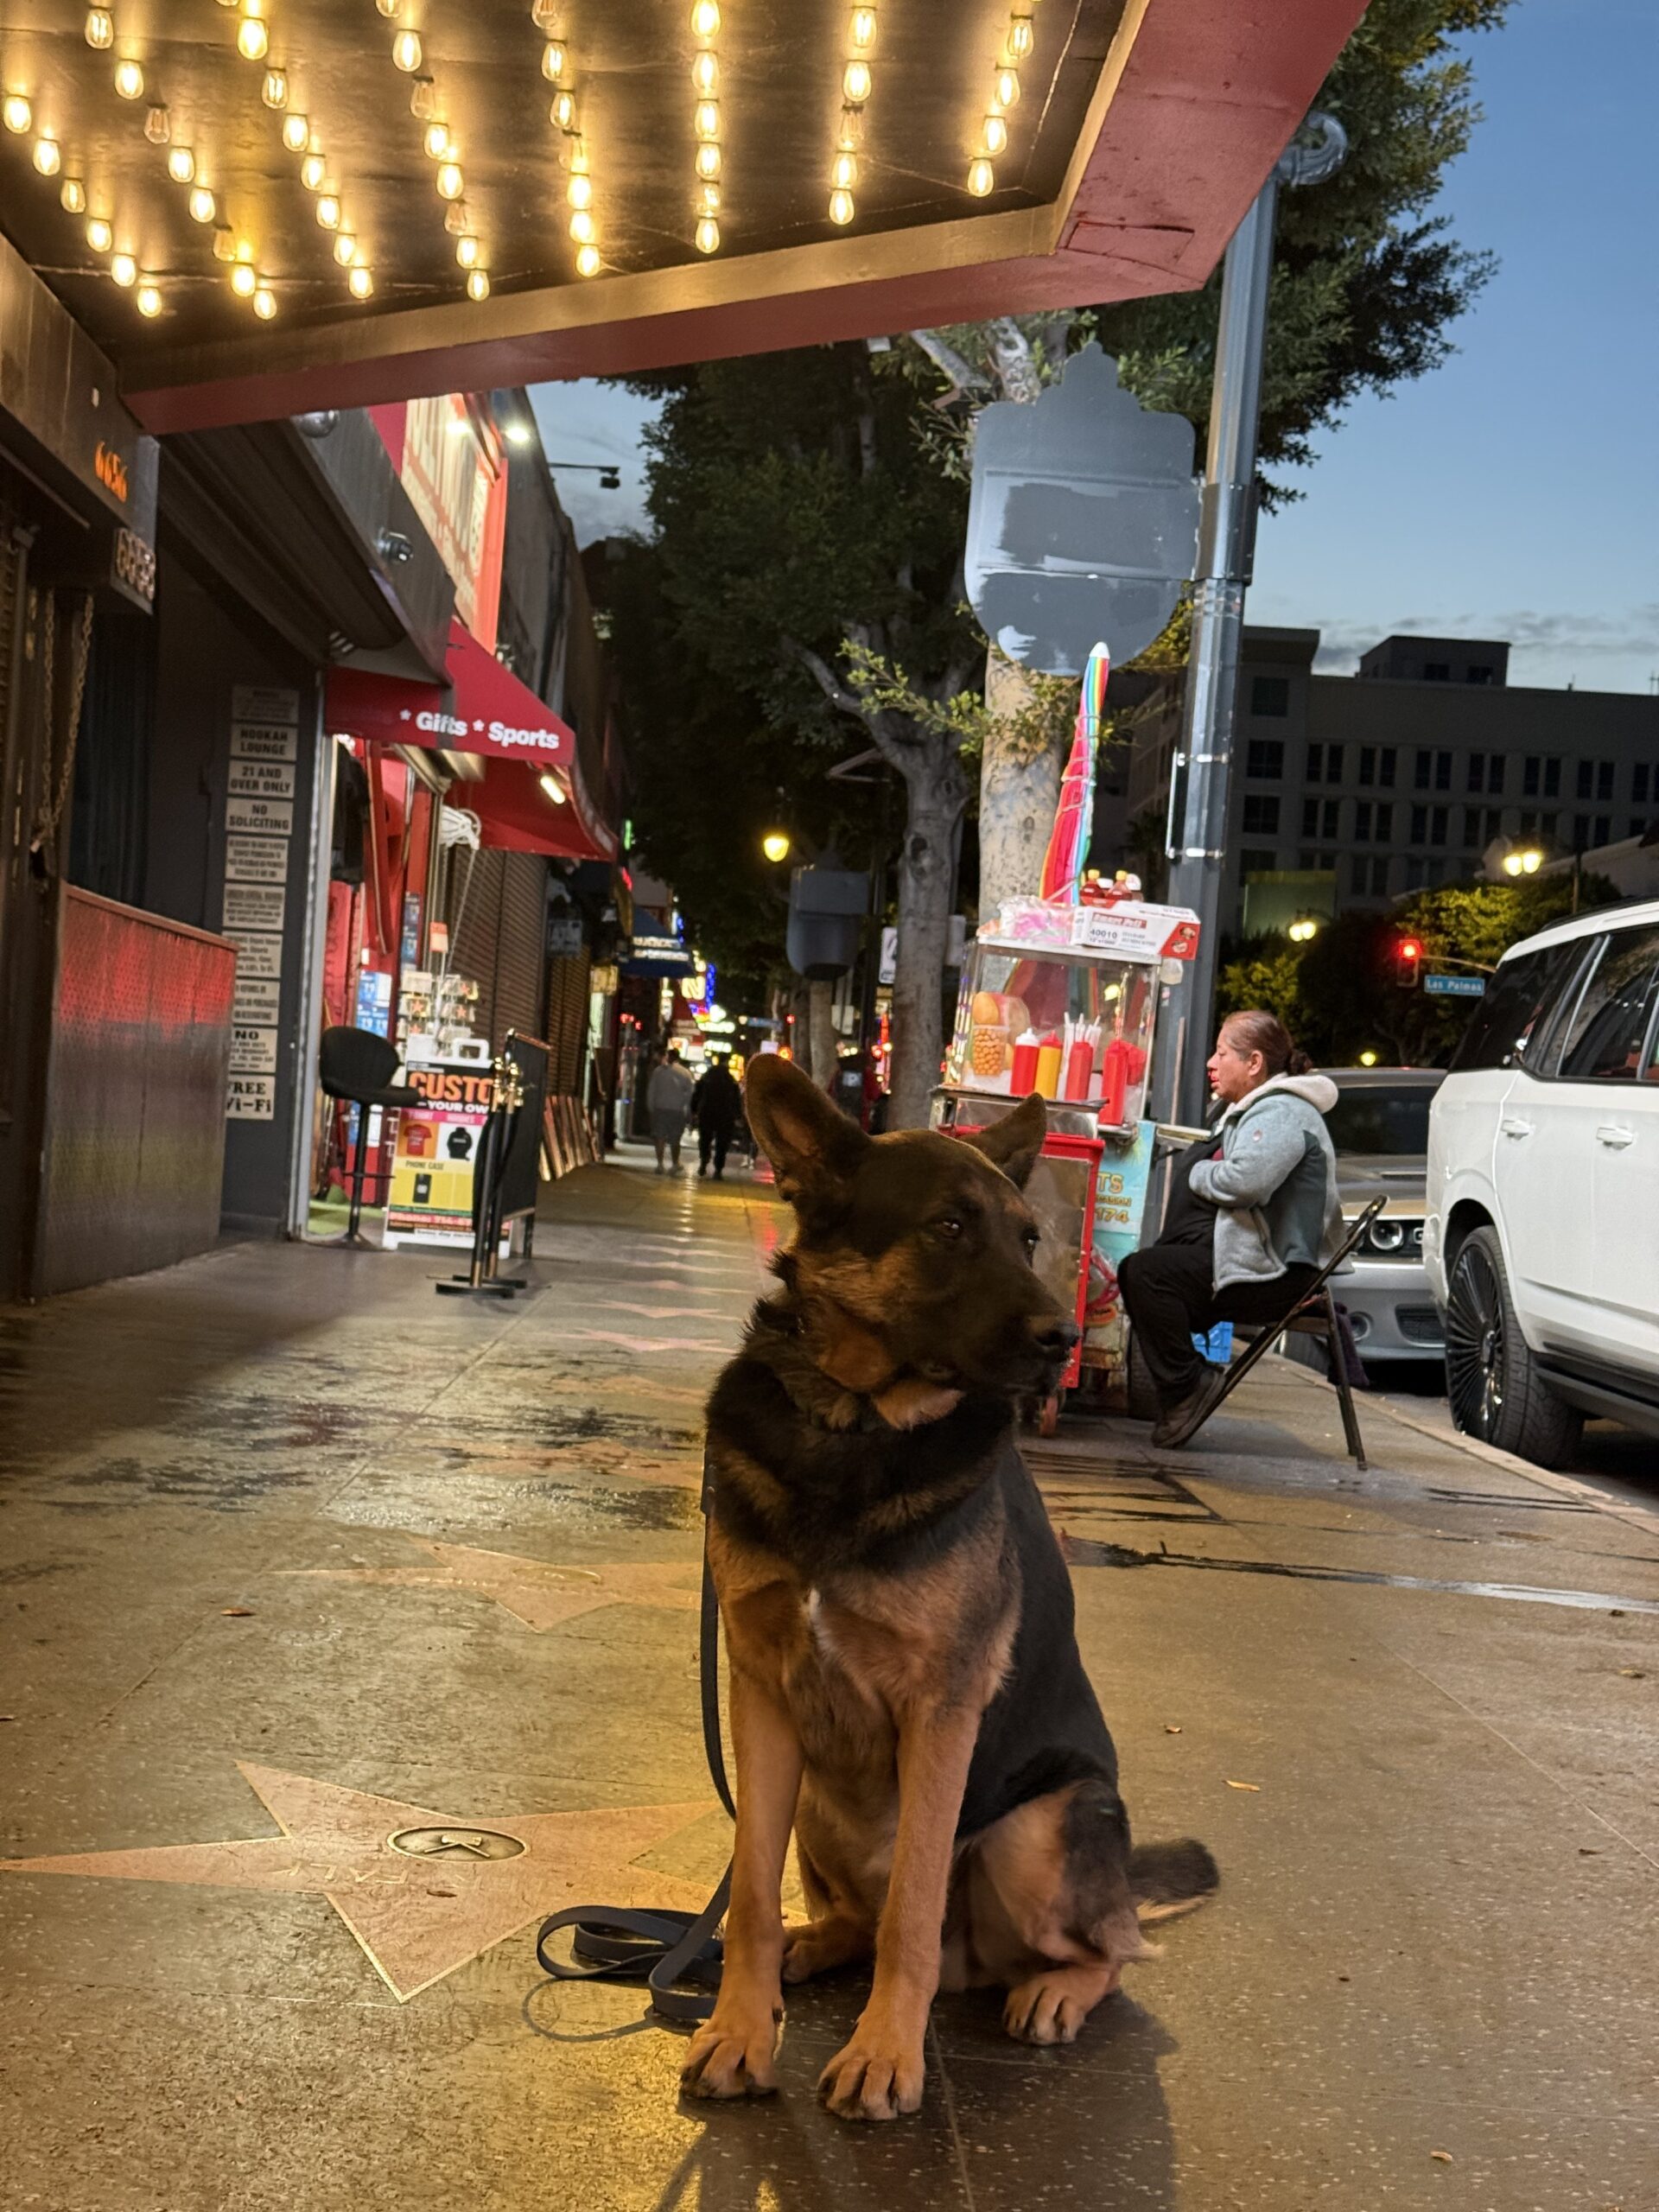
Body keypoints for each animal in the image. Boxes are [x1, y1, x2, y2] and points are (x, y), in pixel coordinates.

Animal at [681, 1055, 1217, 2121]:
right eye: (950, 1228)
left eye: (1029, 1237)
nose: (1065, 1338)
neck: (852, 1424)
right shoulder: (762, 1696)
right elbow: (750, 1894)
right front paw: (740, 2028)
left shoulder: (943, 1711)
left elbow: (913, 1908)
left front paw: (887, 2053)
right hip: (815, 1800)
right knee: (851, 1916)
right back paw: (813, 1943)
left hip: (1037, 1828)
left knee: (1115, 1951)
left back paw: (1053, 1990)